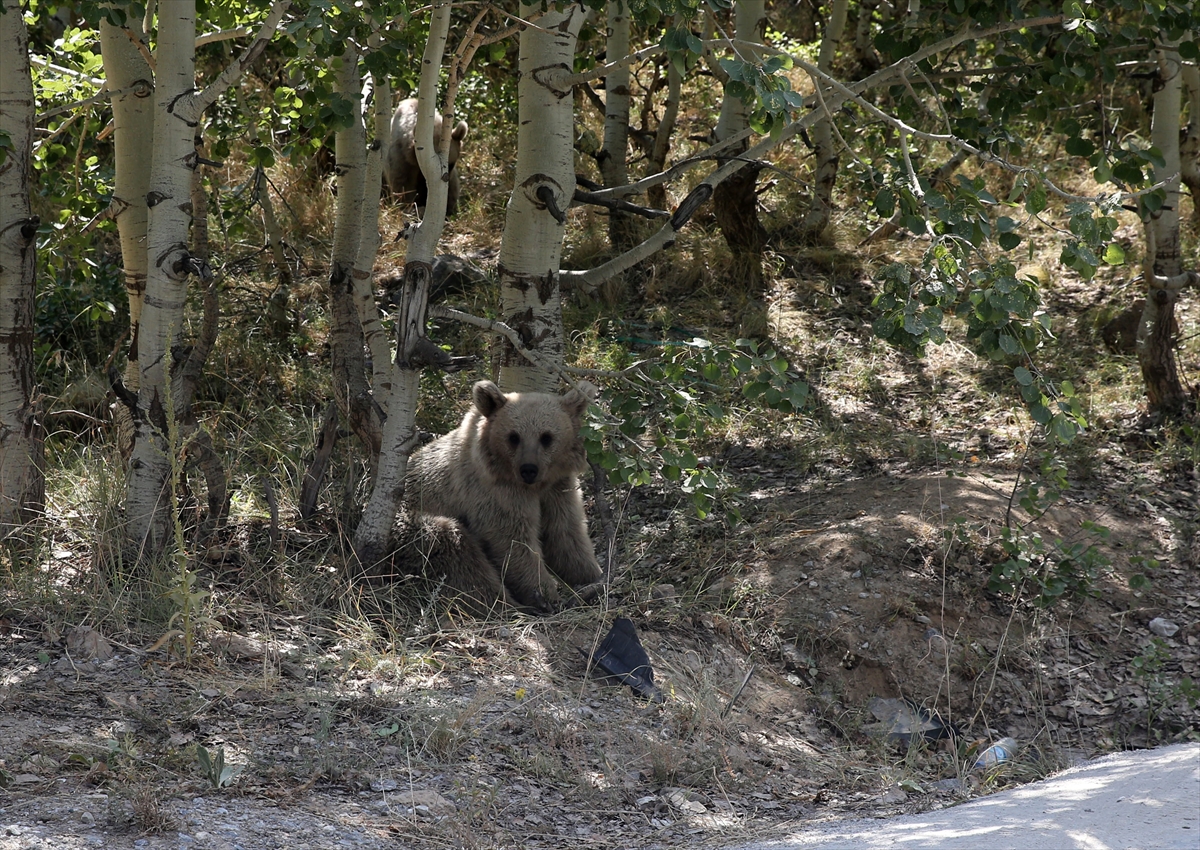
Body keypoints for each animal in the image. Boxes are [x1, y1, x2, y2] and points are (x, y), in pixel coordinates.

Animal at [393, 379, 600, 609]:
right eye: (513, 436)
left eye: (546, 437)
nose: (529, 469)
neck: (533, 487)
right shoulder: (494, 492)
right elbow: (512, 540)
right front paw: (545, 594)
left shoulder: (557, 488)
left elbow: (565, 532)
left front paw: (591, 575)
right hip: (411, 525)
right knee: (457, 556)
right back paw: (506, 604)